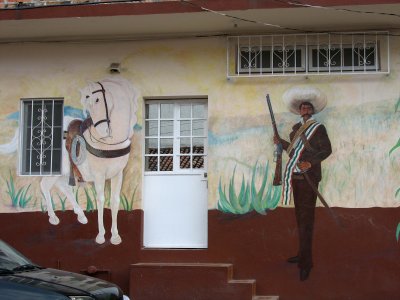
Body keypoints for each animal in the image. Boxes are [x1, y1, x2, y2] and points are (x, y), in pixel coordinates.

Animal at [0, 76, 139, 245]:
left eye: (97, 99)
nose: (103, 132)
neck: (110, 144)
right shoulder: (99, 175)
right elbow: (100, 200)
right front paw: (100, 236)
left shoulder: (118, 174)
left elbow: (114, 201)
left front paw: (115, 236)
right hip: (56, 172)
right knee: (45, 185)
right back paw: (54, 218)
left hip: (65, 172)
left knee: (63, 187)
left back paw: (81, 215)